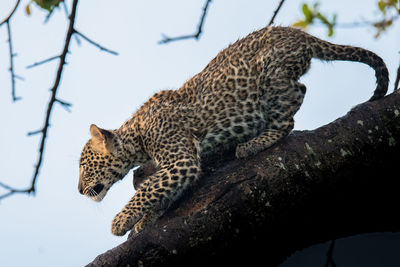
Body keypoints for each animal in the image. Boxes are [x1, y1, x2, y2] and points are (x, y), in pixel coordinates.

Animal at [78, 25, 388, 237]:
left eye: (83, 165)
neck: (138, 137)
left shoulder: (182, 160)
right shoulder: (178, 165)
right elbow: (159, 189)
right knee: (298, 93)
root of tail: (299, 34)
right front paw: (143, 220)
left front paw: (121, 221)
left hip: (272, 74)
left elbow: (149, 188)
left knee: (291, 109)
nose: (80, 190)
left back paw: (255, 141)